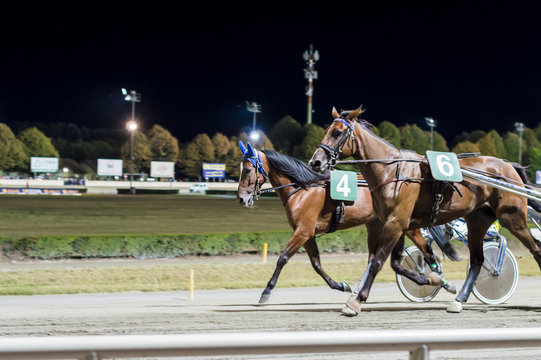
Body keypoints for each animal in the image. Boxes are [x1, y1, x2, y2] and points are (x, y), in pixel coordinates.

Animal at [235, 141, 456, 304]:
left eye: (248, 170)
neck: (304, 189)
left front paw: (266, 291)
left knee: (426, 250)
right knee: (376, 258)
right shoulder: (307, 233)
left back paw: (438, 280)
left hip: (404, 225)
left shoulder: (302, 231)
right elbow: (316, 264)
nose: (241, 199)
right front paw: (341, 285)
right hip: (376, 225)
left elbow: (282, 259)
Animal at [308, 105, 540, 316]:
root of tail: (508, 166)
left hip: (512, 217)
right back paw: (458, 301)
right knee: (477, 260)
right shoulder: (395, 224)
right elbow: (396, 264)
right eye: (327, 130)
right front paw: (434, 278)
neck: (391, 171)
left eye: (337, 132)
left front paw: (356, 302)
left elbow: (378, 262)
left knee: (535, 249)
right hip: (477, 221)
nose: (315, 162)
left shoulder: (395, 223)